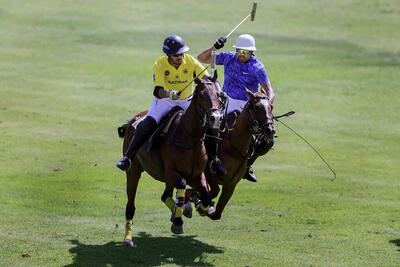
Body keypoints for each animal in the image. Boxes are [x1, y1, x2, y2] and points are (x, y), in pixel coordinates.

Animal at [118, 73, 225, 247]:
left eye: (219, 95)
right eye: (202, 95)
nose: (215, 118)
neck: (190, 138)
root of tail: (132, 120)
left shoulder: (196, 175)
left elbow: (207, 194)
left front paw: (201, 208)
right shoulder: (170, 172)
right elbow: (182, 184)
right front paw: (178, 222)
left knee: (164, 195)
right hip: (133, 171)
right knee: (130, 206)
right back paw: (128, 238)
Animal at [191, 89, 276, 221]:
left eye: (271, 106)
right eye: (257, 107)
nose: (270, 131)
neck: (234, 146)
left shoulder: (231, 185)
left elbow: (216, 214)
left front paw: (202, 205)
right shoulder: (208, 173)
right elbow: (211, 191)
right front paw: (199, 203)